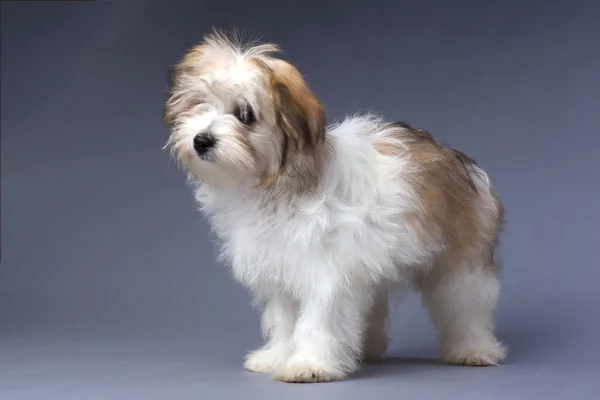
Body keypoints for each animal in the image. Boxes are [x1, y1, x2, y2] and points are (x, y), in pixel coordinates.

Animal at [163, 29, 506, 382]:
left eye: (245, 114)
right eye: (198, 104)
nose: (201, 140)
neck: (278, 182)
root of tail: (459, 159)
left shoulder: (326, 272)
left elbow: (317, 319)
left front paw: (308, 364)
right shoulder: (282, 270)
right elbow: (285, 321)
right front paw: (277, 357)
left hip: (460, 260)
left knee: (465, 306)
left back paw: (474, 350)